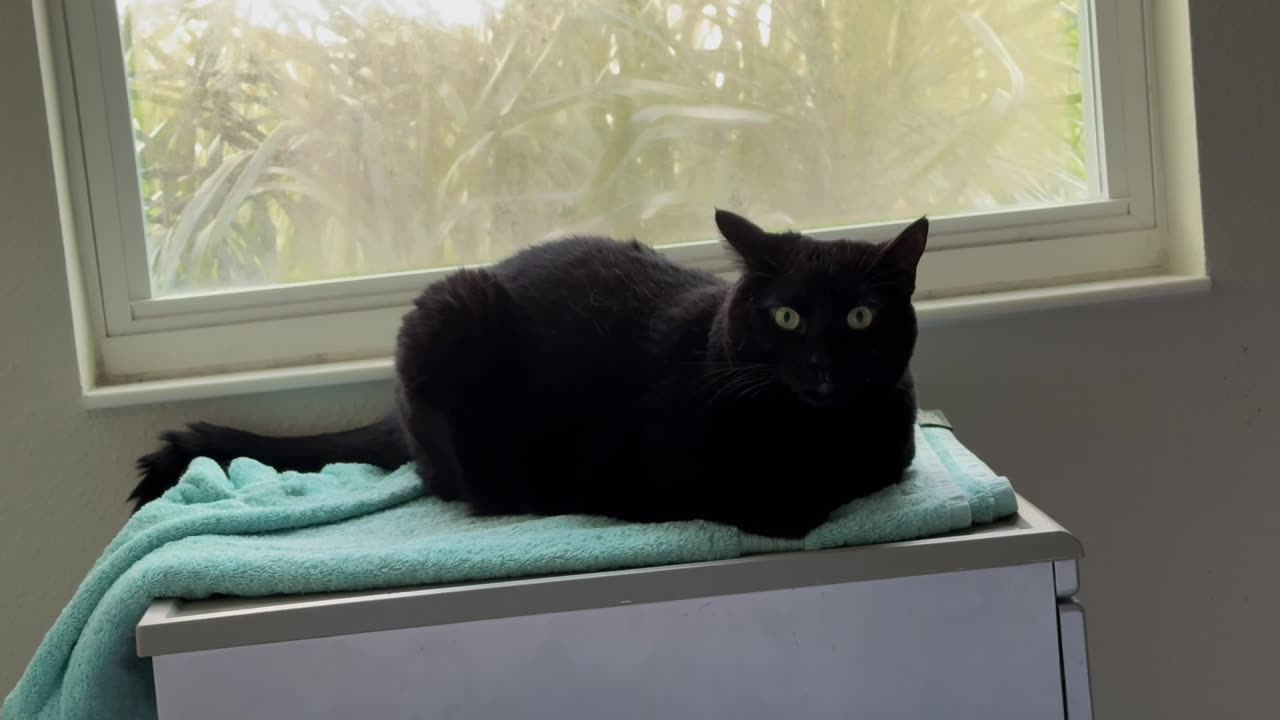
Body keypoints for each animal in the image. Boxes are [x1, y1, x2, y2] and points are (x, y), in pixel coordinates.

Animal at [132, 210, 931, 535]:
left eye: (861, 317)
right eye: (787, 317)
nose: (822, 365)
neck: (816, 434)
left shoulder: (896, 451)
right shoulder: (645, 473)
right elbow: (792, 502)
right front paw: (797, 494)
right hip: (452, 310)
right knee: (454, 481)